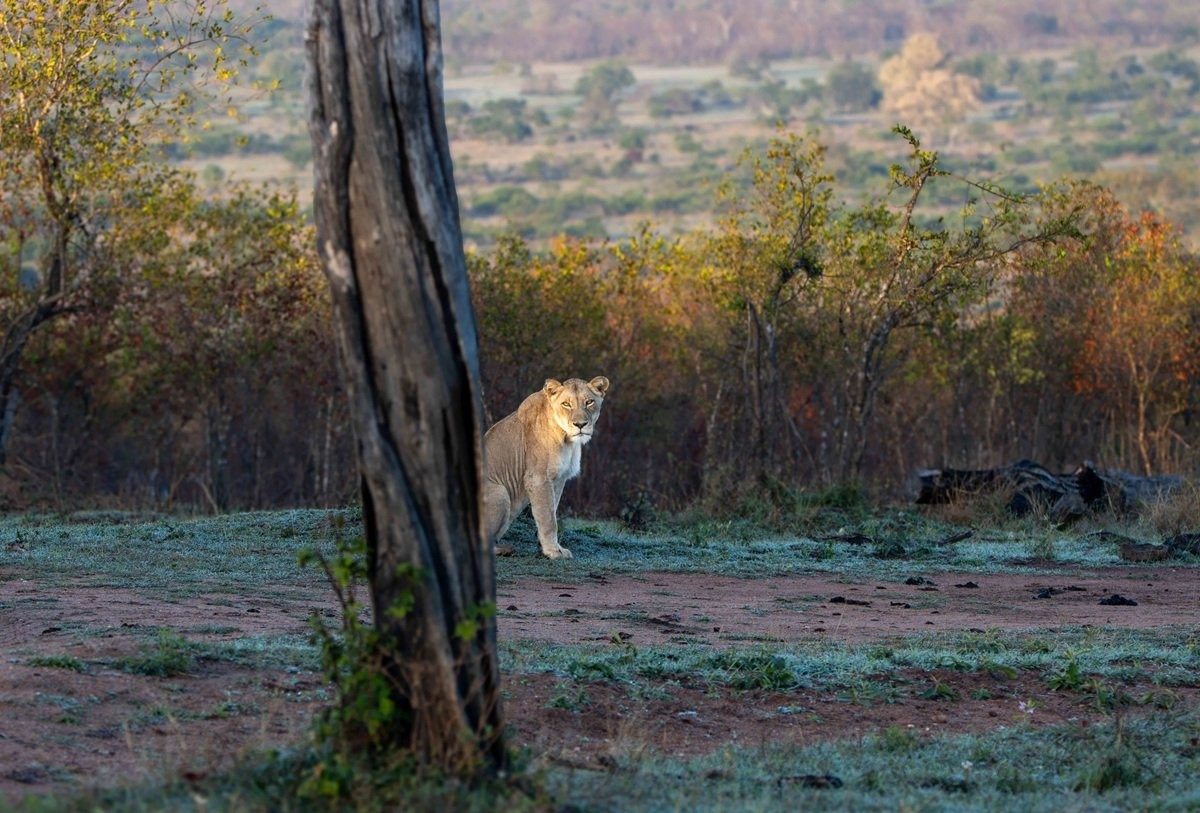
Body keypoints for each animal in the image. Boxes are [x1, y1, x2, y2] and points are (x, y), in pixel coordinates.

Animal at [482, 376, 610, 559]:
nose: (580, 425)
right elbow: (548, 519)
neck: (567, 440)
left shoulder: (559, 478)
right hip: (500, 492)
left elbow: (551, 511)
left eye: (589, 402)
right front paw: (553, 552)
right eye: (566, 404)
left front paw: (547, 548)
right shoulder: (538, 478)